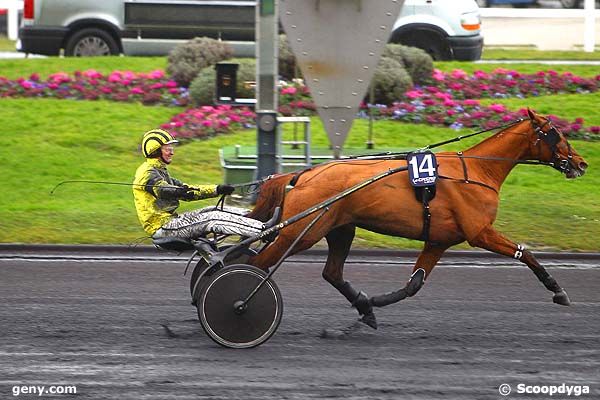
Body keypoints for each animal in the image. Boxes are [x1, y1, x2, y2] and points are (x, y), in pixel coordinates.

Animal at [245, 111, 584, 330]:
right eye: (556, 134)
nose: (581, 163)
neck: (477, 171)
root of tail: (302, 174)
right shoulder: (480, 232)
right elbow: (524, 253)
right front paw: (557, 290)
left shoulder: (438, 240)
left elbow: (414, 285)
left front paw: (373, 302)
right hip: (300, 232)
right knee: (257, 264)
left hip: (340, 229)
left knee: (332, 272)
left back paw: (364, 307)